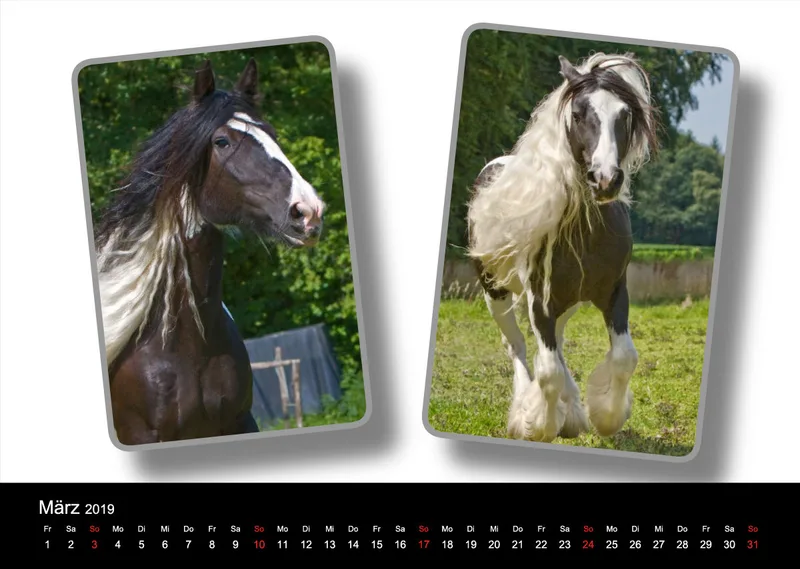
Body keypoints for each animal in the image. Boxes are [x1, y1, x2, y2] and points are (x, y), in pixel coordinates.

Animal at [467, 52, 659, 443]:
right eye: (579, 113)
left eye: (624, 114)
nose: (605, 180)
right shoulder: (540, 299)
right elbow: (547, 372)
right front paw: (536, 425)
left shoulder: (614, 291)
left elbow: (624, 358)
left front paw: (605, 416)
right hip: (496, 294)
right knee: (519, 347)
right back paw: (528, 409)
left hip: (567, 302)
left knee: (557, 339)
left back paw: (570, 411)